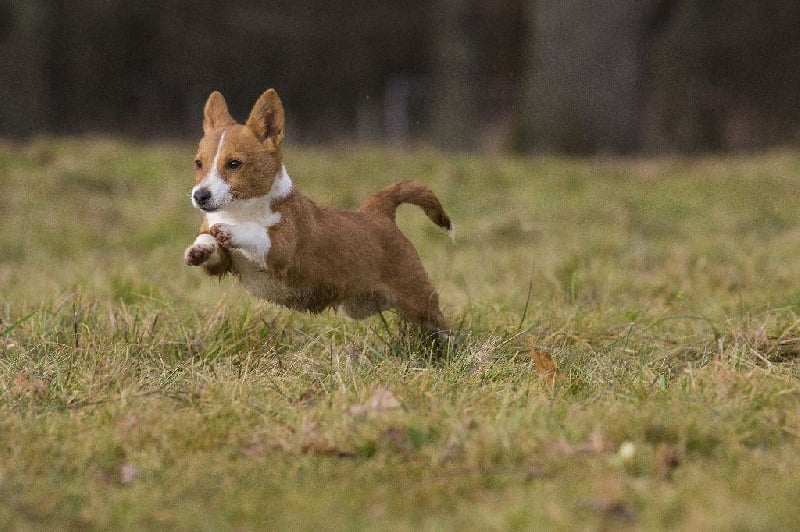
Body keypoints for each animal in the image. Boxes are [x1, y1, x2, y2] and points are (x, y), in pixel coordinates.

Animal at [184, 89, 454, 338]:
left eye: (234, 164)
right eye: (198, 164)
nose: (200, 196)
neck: (239, 211)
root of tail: (379, 213)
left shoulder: (281, 250)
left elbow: (257, 233)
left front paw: (229, 231)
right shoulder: (223, 264)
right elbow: (210, 245)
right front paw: (199, 248)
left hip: (420, 301)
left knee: (442, 325)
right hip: (362, 306)